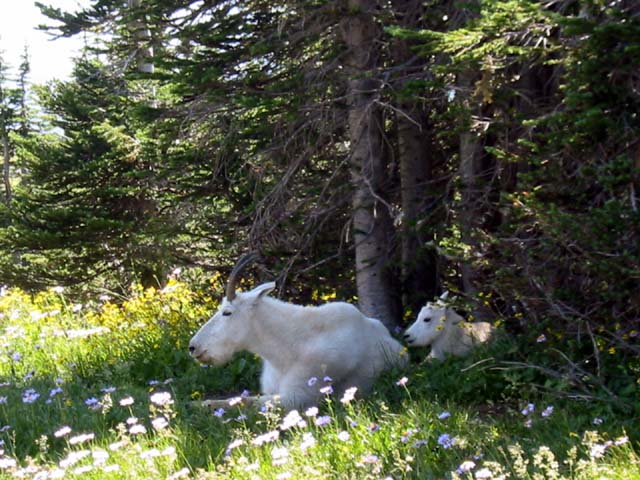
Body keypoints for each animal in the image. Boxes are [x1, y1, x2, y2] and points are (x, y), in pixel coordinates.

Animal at [189, 254, 408, 410]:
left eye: (227, 312)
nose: (193, 347)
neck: (284, 352)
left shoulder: (296, 398)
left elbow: (242, 402)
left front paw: (196, 405)